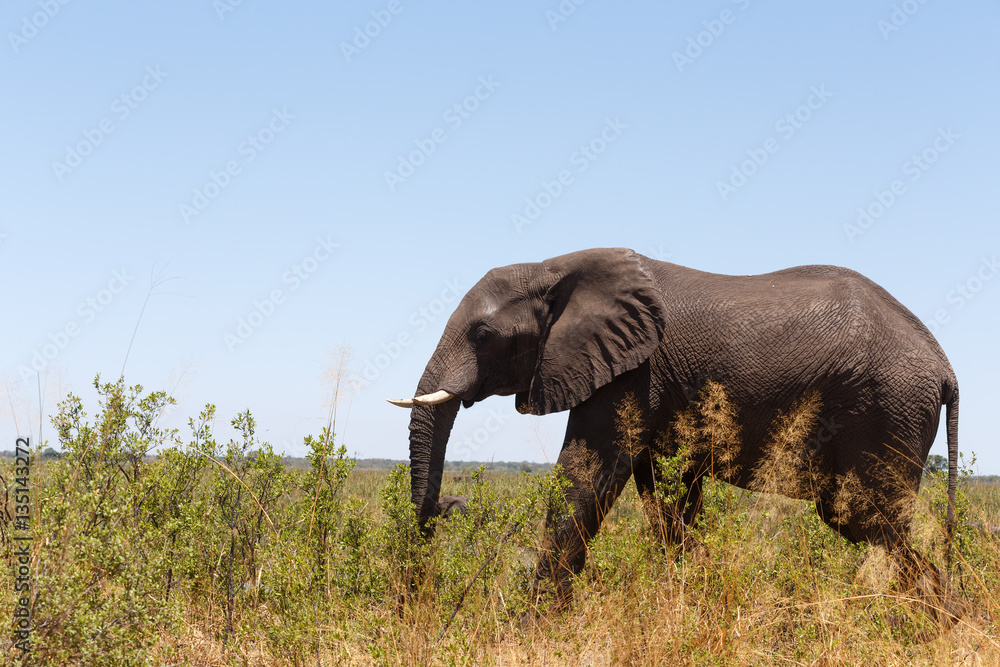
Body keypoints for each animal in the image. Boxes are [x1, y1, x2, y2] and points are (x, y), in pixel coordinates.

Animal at [388, 247, 964, 626]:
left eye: (483, 335)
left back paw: (920, 624)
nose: (449, 507)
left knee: (862, 515)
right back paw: (940, 622)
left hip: (887, 409)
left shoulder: (631, 372)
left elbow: (587, 474)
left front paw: (535, 630)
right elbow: (666, 497)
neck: (556, 266)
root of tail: (945, 368)